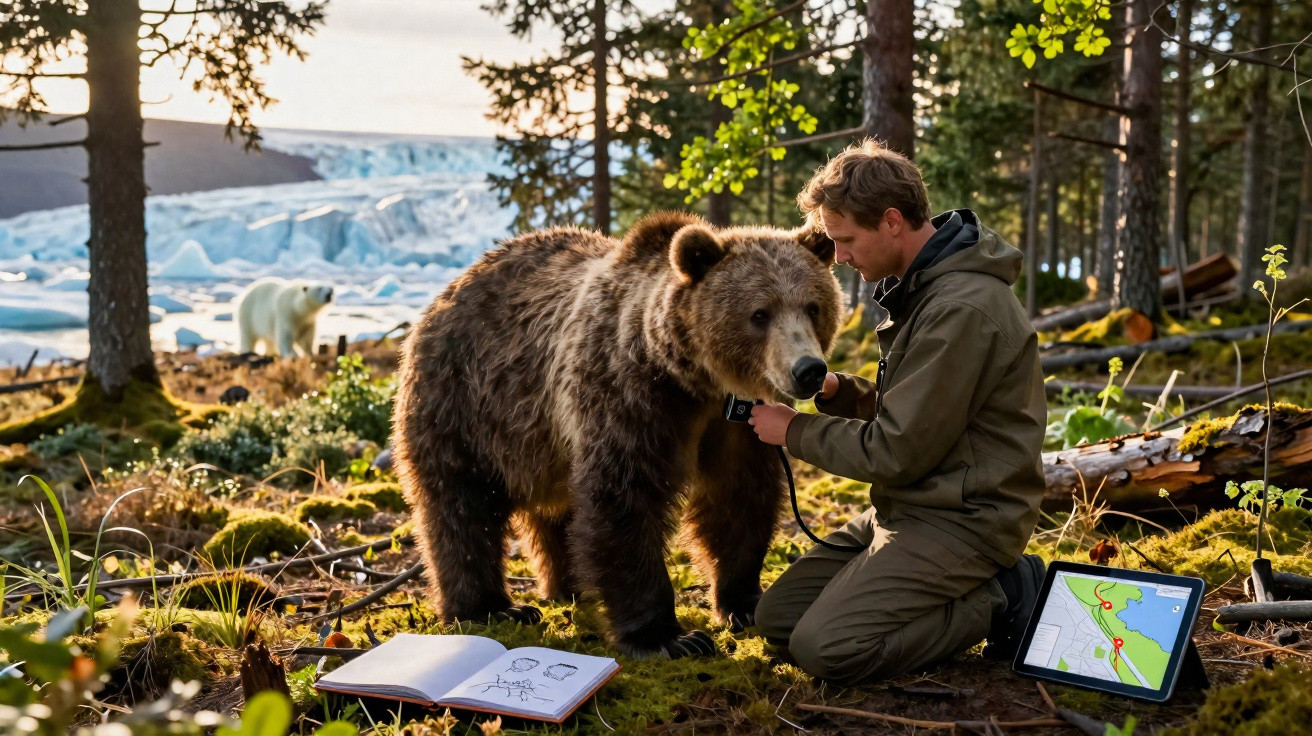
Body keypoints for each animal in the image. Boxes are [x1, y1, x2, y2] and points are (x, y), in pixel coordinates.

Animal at [391, 212, 843, 658]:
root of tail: (450, 289)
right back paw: (492, 608)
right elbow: (624, 499)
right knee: (462, 507)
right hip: (467, 403)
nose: (809, 370)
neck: (696, 383)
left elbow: (737, 499)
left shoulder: (734, 427)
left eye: (813, 307)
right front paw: (670, 638)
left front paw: (742, 603)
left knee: (556, 511)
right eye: (760, 313)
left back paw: (568, 587)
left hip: (540, 442)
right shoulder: (628, 397)